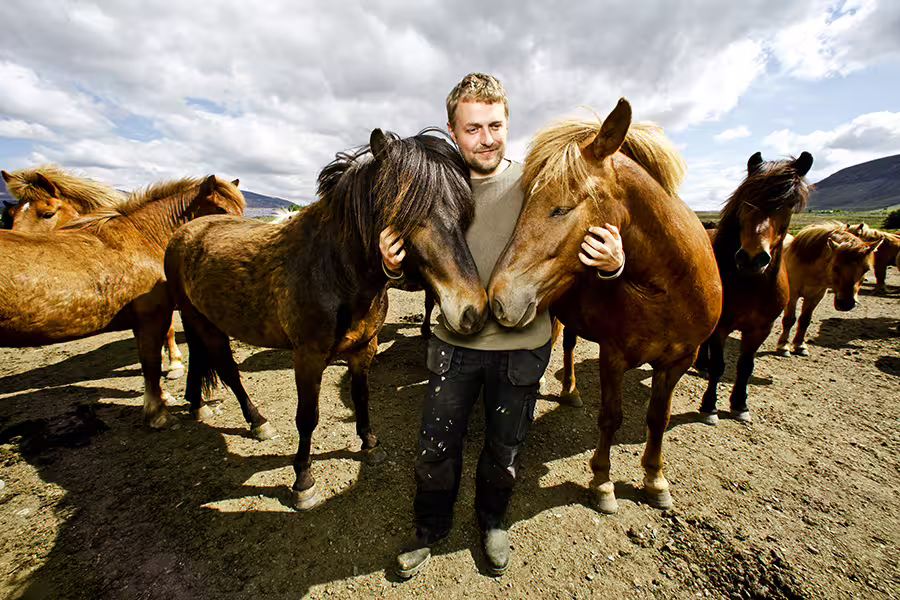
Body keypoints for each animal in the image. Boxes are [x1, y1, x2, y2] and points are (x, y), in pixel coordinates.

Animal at [164, 128, 488, 511]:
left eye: (462, 212)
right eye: (406, 212)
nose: (472, 310)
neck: (335, 272)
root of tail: (188, 230)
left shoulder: (364, 348)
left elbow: (361, 396)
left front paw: (369, 444)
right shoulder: (308, 357)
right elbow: (308, 417)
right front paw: (303, 480)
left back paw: (198, 405)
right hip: (201, 320)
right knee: (227, 369)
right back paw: (256, 421)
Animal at [487, 99, 722, 514]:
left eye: (560, 208)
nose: (499, 298)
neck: (671, 290)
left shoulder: (679, 361)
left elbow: (658, 418)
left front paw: (655, 478)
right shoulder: (614, 356)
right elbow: (611, 417)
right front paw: (602, 482)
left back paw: (570, 391)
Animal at [693, 151, 814, 425]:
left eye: (789, 204)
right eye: (746, 200)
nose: (751, 258)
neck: (749, 284)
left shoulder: (761, 328)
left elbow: (746, 366)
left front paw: (740, 404)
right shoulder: (722, 326)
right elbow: (719, 365)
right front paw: (709, 406)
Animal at [776, 222, 881, 356]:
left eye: (866, 269)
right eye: (835, 267)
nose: (846, 304)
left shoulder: (816, 296)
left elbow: (805, 320)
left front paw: (800, 345)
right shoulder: (793, 294)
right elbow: (789, 320)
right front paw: (783, 346)